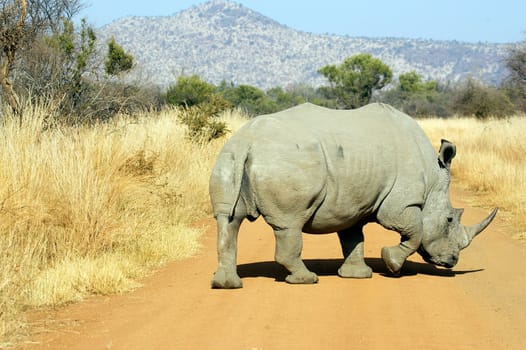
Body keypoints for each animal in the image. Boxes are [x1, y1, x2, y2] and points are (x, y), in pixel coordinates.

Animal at [208, 102, 498, 288]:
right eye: (449, 219)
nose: (452, 261)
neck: (433, 176)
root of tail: (247, 142)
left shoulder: (352, 204)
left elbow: (353, 238)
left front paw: (358, 275)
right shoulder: (399, 203)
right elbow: (415, 232)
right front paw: (391, 264)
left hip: (228, 156)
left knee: (229, 220)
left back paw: (227, 285)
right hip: (287, 161)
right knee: (289, 223)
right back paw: (306, 280)